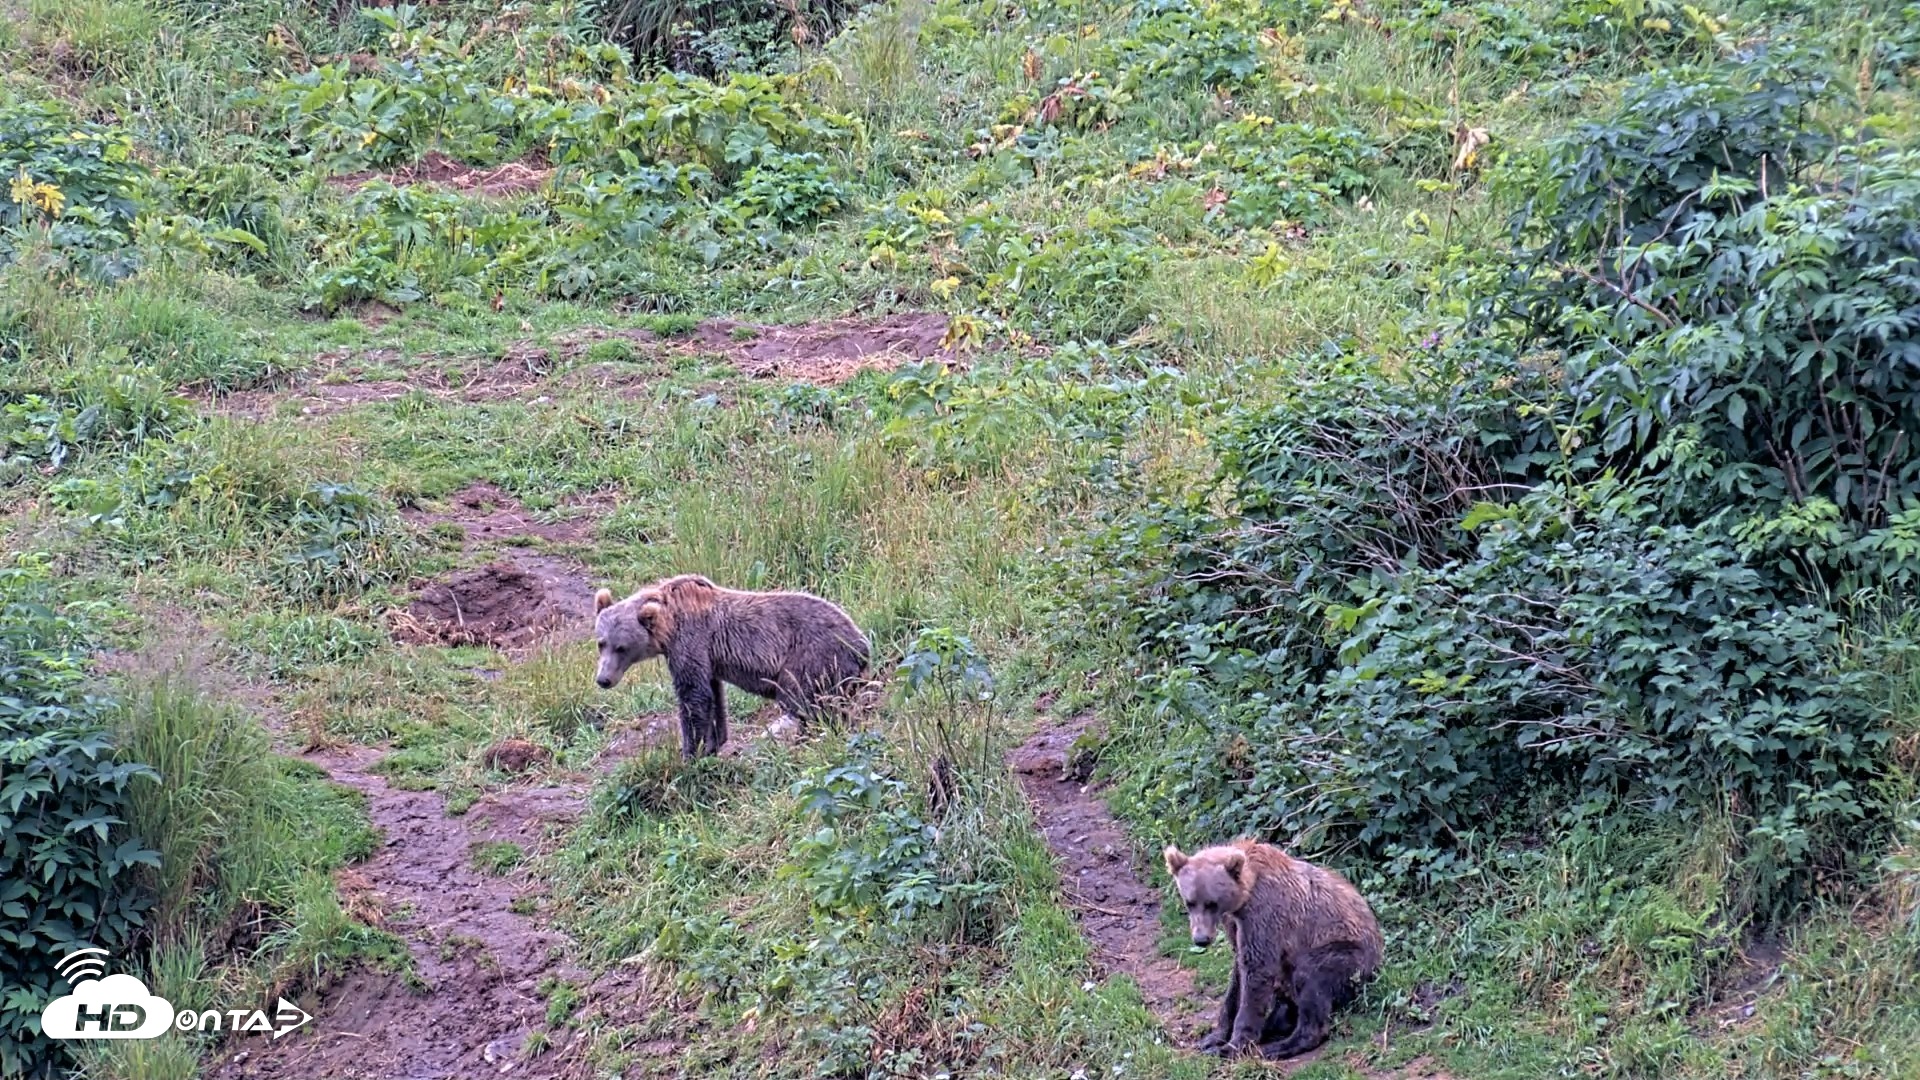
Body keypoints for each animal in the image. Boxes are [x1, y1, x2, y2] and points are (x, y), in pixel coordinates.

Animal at [592, 574, 870, 759]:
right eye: (601, 642)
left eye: (622, 647)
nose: (603, 679)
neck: (669, 624)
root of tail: (862, 644)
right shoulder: (708, 658)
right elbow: (712, 695)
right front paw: (714, 742)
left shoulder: (690, 641)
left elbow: (693, 696)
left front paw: (690, 752)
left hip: (811, 655)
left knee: (800, 700)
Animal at [1163, 839, 1383, 1060]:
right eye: (1190, 902)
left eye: (1212, 903)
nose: (1201, 939)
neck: (1246, 893)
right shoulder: (1234, 923)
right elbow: (1237, 977)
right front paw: (1213, 1038)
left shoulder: (1265, 916)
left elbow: (1257, 971)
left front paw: (1231, 1046)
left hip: (1349, 955)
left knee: (1310, 976)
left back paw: (1278, 1046)